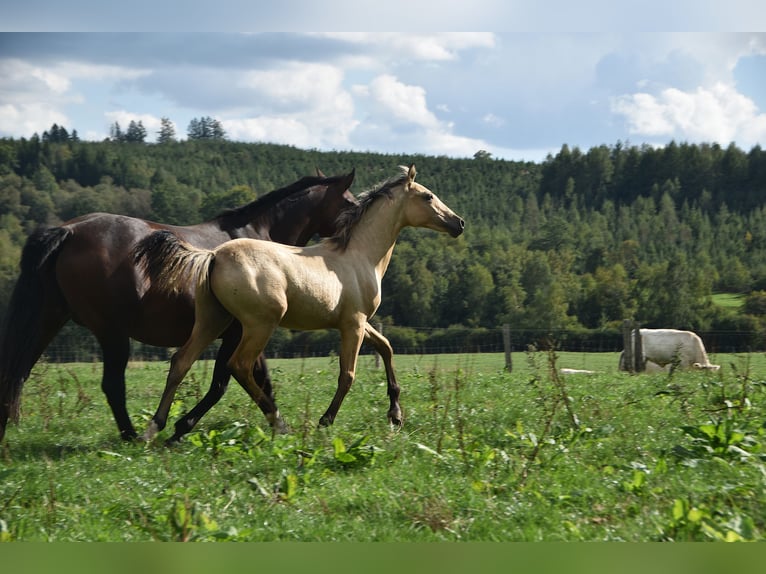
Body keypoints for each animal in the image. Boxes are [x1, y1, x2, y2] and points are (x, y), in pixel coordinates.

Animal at [0, 170, 402, 444]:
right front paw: (182, 426)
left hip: (48, 320)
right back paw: (131, 434)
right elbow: (226, 382)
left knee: (17, 372)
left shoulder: (238, 331)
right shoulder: (241, 331)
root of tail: (67, 231)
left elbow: (246, 381)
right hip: (111, 333)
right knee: (111, 384)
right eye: (351, 203)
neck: (260, 237)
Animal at [134, 165, 464, 439]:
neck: (360, 256)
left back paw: (154, 429)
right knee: (239, 366)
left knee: (181, 361)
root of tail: (214, 256)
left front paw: (395, 415)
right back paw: (280, 424)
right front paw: (325, 421)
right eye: (427, 196)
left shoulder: (356, 322)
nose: (458, 223)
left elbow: (386, 347)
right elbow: (348, 375)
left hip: (213, 320)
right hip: (258, 324)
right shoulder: (354, 325)